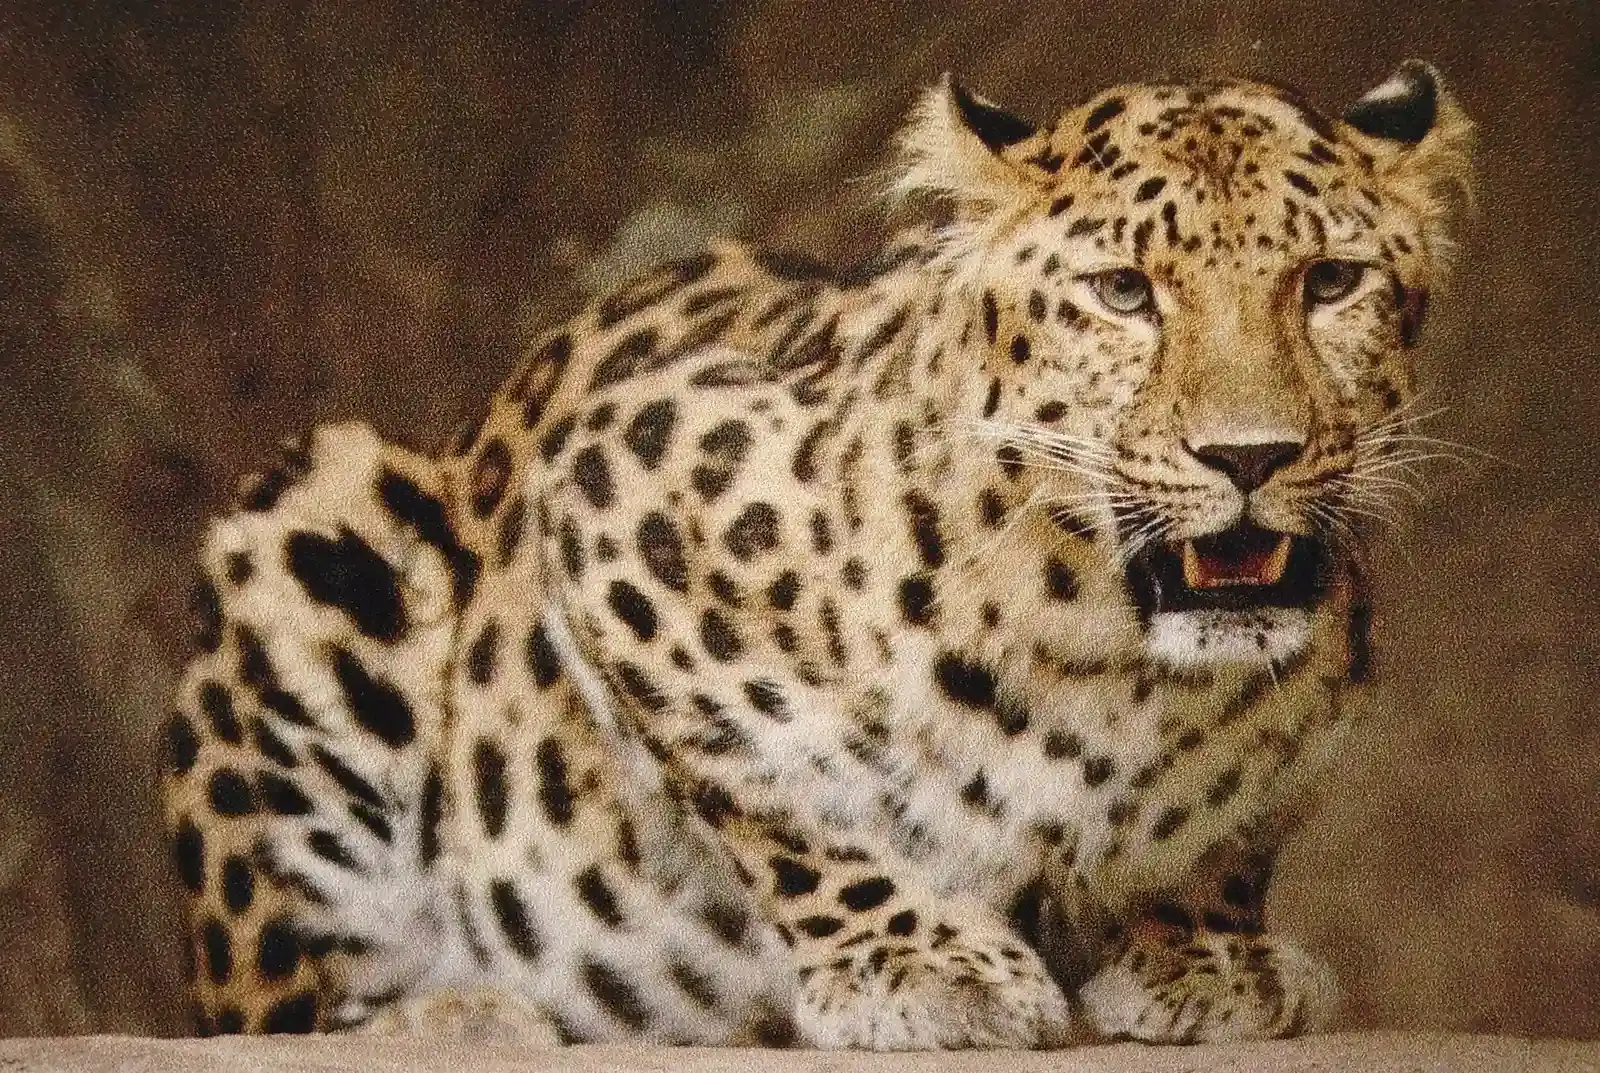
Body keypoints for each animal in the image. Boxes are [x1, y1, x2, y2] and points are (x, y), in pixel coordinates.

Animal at [160, 60, 1474, 1050]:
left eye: (1330, 281)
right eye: (1123, 292)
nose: (1250, 453)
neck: (1128, 668)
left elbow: (1225, 836)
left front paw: (1206, 953)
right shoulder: (613, 488)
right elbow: (773, 788)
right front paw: (924, 961)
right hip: (317, 524)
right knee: (275, 1008)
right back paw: (462, 1015)